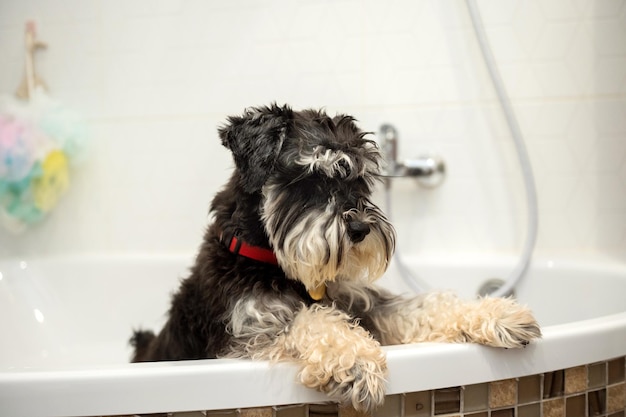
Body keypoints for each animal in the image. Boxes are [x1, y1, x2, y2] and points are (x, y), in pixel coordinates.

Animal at [129, 103, 540, 410]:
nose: (360, 228)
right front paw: (357, 361)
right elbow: (310, 322)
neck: (274, 263)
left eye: (359, 180)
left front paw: (497, 313)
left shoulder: (365, 305)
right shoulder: (248, 337)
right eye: (310, 179)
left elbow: (423, 306)